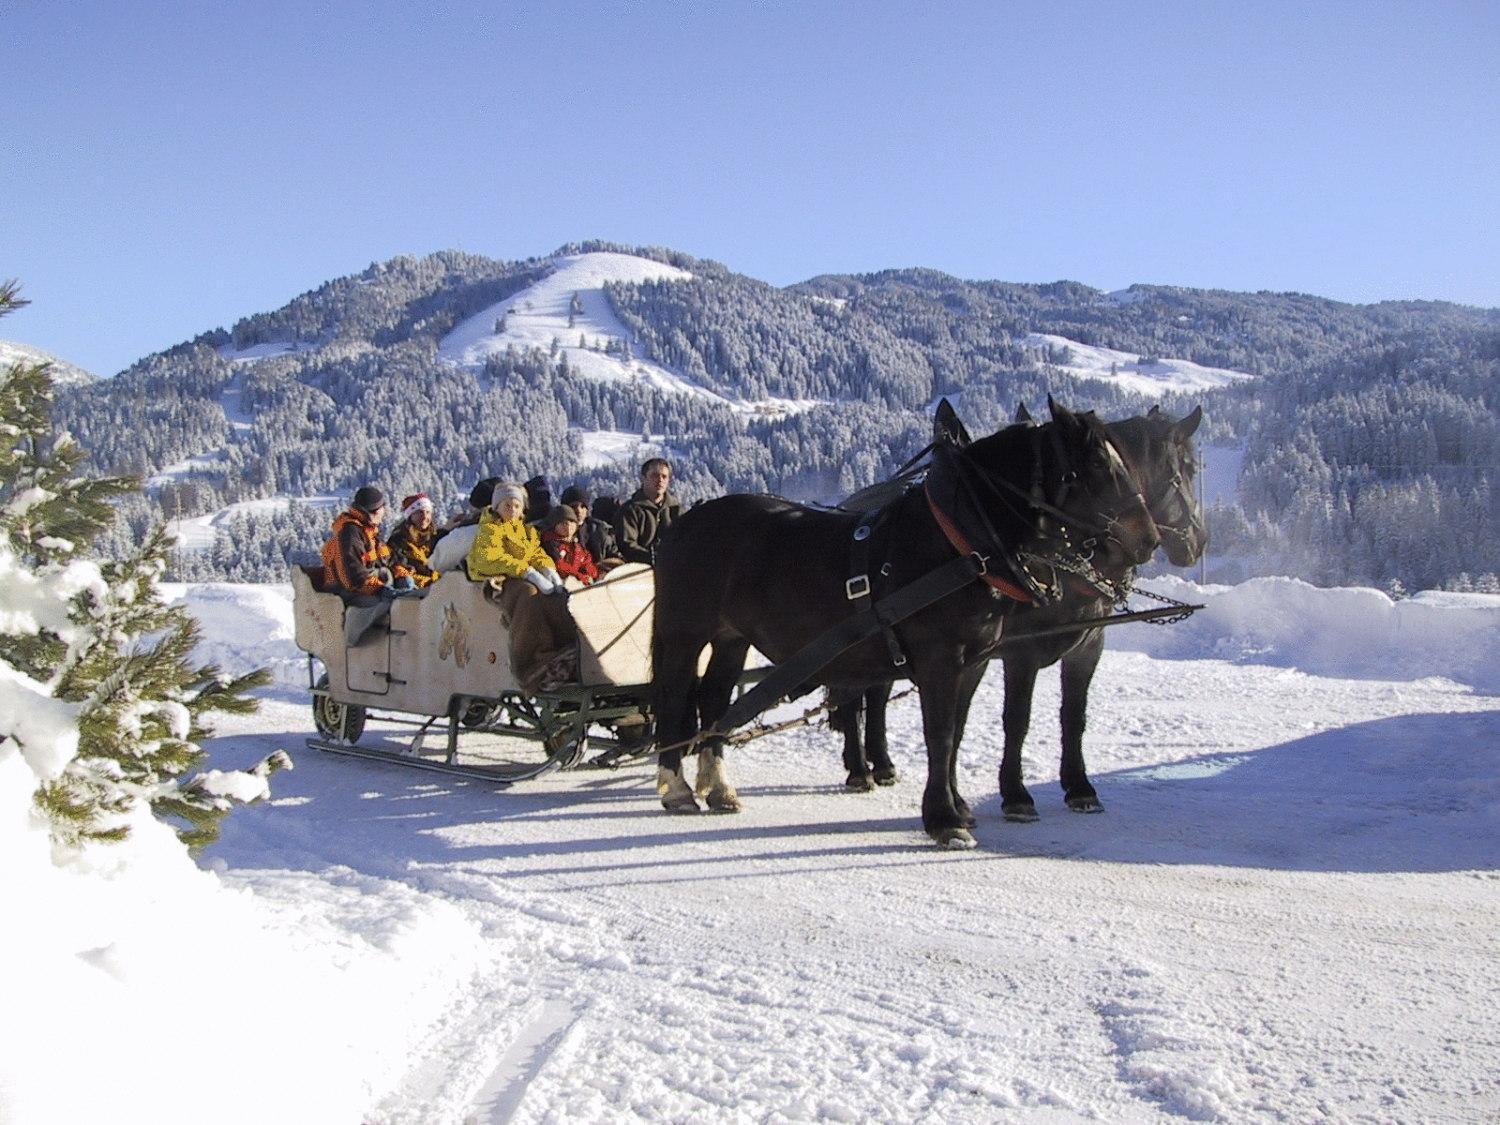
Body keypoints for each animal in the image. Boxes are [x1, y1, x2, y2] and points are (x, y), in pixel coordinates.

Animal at [648, 402, 1158, 852]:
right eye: (1095, 465)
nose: (1148, 540)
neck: (958, 544)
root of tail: (682, 523)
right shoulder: (943, 659)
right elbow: (942, 734)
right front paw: (946, 820)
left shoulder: (973, 662)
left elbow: (957, 732)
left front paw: (958, 806)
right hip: (684, 629)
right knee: (675, 694)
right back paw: (678, 789)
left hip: (731, 637)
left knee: (715, 698)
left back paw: (718, 788)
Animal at [834, 402, 1206, 822]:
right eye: (1186, 470)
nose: (1197, 541)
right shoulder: (1019, 652)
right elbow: (1016, 719)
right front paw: (1015, 793)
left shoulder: (1087, 643)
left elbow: (1071, 715)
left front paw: (1079, 787)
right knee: (852, 696)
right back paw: (859, 768)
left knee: (876, 694)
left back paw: (880, 763)